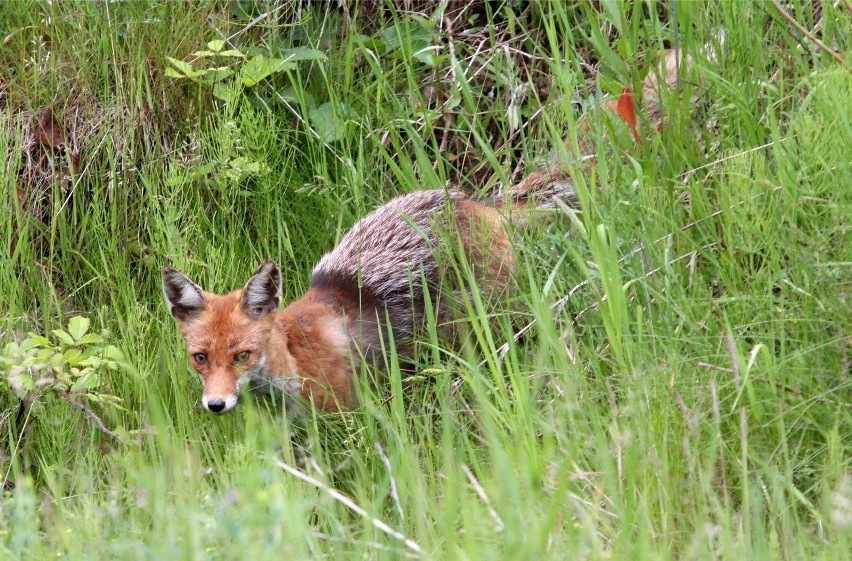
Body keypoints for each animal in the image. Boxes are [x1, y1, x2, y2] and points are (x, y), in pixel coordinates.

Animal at [163, 173, 576, 414]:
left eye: (242, 356)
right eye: (200, 358)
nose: (215, 404)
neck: (294, 357)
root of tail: (471, 202)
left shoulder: (342, 412)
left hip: (489, 320)